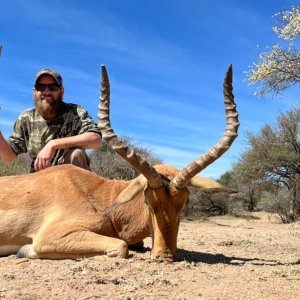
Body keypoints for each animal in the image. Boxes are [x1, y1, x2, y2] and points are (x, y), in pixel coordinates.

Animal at [0, 65, 239, 260]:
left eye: (183, 202)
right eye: (148, 201)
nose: (165, 256)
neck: (99, 196)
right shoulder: (51, 236)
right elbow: (122, 246)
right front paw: (24, 250)